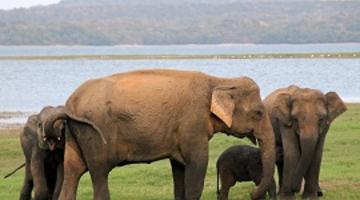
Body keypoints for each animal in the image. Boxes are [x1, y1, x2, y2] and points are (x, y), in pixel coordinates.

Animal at [44, 69, 276, 200]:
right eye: (258, 112)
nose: (251, 193)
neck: (218, 80)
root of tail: (70, 104)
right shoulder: (192, 124)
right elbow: (197, 167)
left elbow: (180, 170)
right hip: (94, 133)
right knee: (99, 174)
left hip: (75, 134)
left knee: (72, 174)